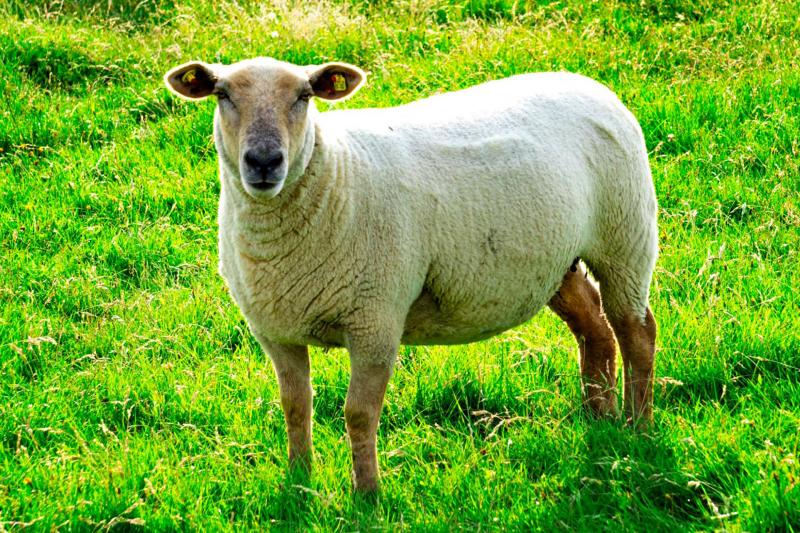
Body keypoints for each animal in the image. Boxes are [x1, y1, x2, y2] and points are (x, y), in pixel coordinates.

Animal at [164, 57, 658, 493]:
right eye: (222, 94)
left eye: (304, 96)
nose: (264, 161)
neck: (335, 176)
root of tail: (589, 83)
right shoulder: (275, 331)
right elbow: (295, 407)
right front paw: (300, 481)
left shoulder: (376, 321)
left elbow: (358, 414)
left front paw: (367, 494)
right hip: (556, 260)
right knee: (594, 329)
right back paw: (599, 419)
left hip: (625, 237)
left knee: (637, 331)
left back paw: (637, 429)